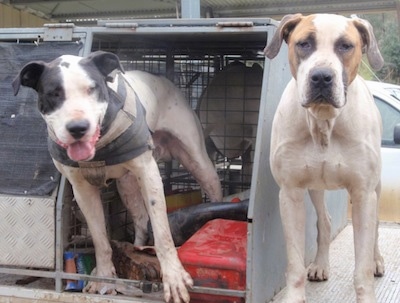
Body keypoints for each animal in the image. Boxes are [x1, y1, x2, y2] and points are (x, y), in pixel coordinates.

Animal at [12, 51, 223, 302]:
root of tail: (163, 77)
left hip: (197, 161)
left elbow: (162, 233)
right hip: (127, 184)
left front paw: (174, 278)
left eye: (92, 88)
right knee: (140, 220)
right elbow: (100, 239)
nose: (78, 128)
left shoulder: (149, 173)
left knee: (212, 189)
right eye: (54, 93)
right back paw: (135, 251)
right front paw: (104, 278)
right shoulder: (83, 191)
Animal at [264, 13, 386, 302]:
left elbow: (362, 267)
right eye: (304, 43)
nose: (321, 76)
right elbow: (295, 262)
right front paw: (295, 295)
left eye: (345, 46)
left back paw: (377, 259)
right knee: (325, 221)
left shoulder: (364, 193)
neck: (324, 121)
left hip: (376, 187)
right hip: (315, 187)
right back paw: (320, 264)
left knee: (374, 228)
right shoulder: (291, 193)